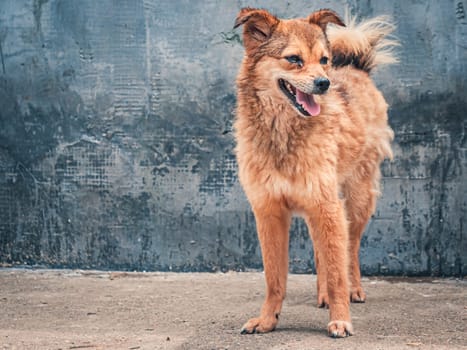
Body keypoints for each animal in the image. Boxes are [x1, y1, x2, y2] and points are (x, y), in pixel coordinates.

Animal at [234, 7, 398, 336]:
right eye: (294, 59)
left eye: (323, 60)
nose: (324, 83)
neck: (283, 131)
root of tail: (356, 68)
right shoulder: (269, 210)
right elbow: (275, 278)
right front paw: (267, 319)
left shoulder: (327, 206)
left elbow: (337, 271)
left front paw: (341, 318)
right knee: (323, 254)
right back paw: (322, 295)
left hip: (356, 199)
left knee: (350, 249)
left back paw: (354, 290)